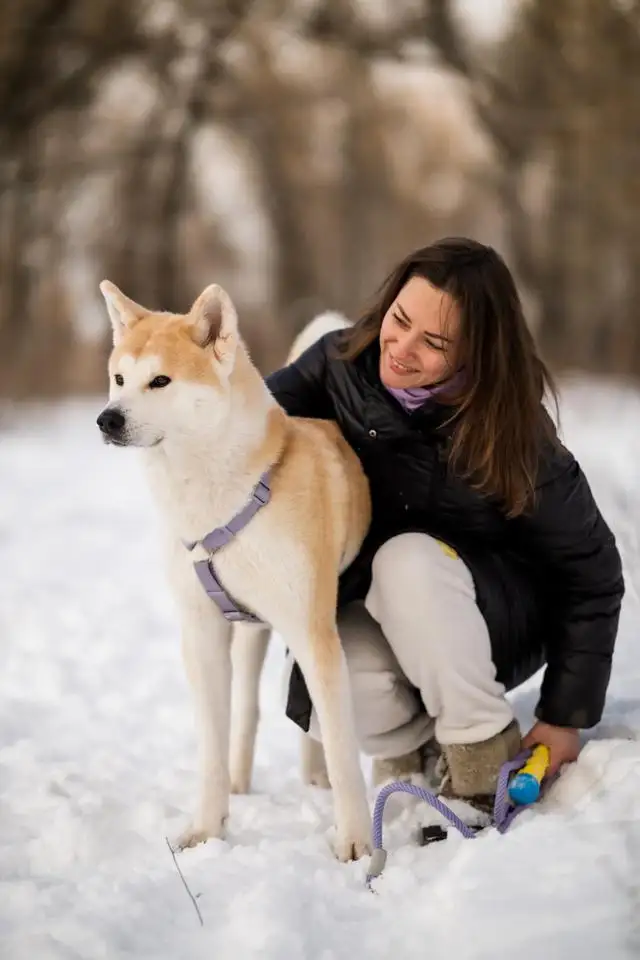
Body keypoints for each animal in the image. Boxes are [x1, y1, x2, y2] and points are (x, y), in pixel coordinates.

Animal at [97, 282, 372, 860]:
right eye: (119, 379)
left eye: (161, 380)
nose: (107, 419)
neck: (220, 500)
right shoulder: (202, 634)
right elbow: (212, 743)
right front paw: (208, 827)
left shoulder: (314, 632)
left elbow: (341, 745)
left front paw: (359, 844)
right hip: (250, 633)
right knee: (247, 709)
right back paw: (242, 783)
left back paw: (314, 778)